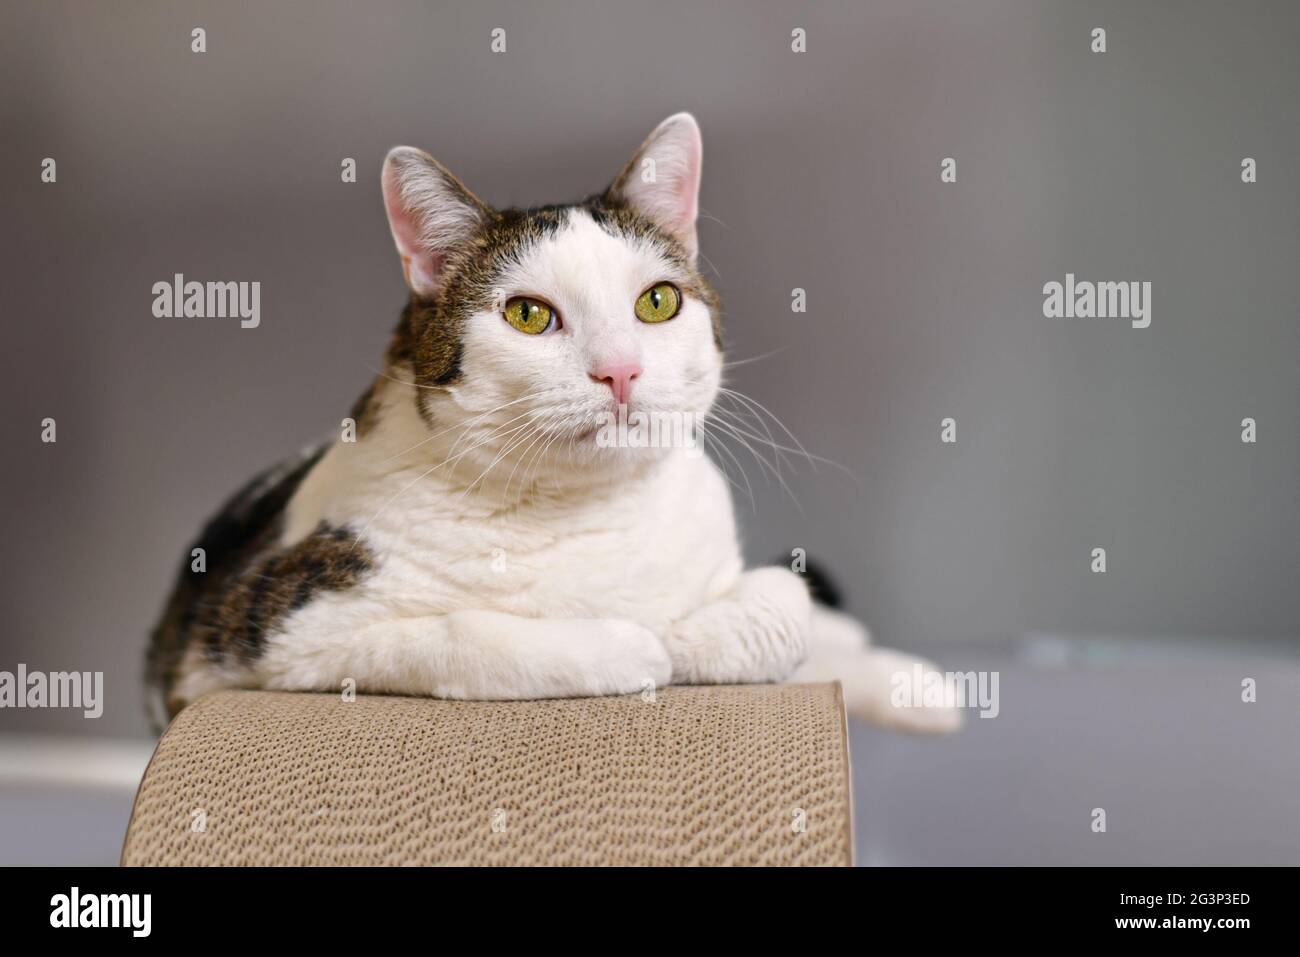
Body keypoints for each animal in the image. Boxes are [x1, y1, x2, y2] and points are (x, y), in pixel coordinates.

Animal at [147, 115, 961, 738]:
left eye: (658, 302)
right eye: (529, 315)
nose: (620, 371)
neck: (587, 511)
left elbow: (784, 600)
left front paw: (694, 634)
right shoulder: (266, 633)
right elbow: (459, 634)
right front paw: (637, 647)